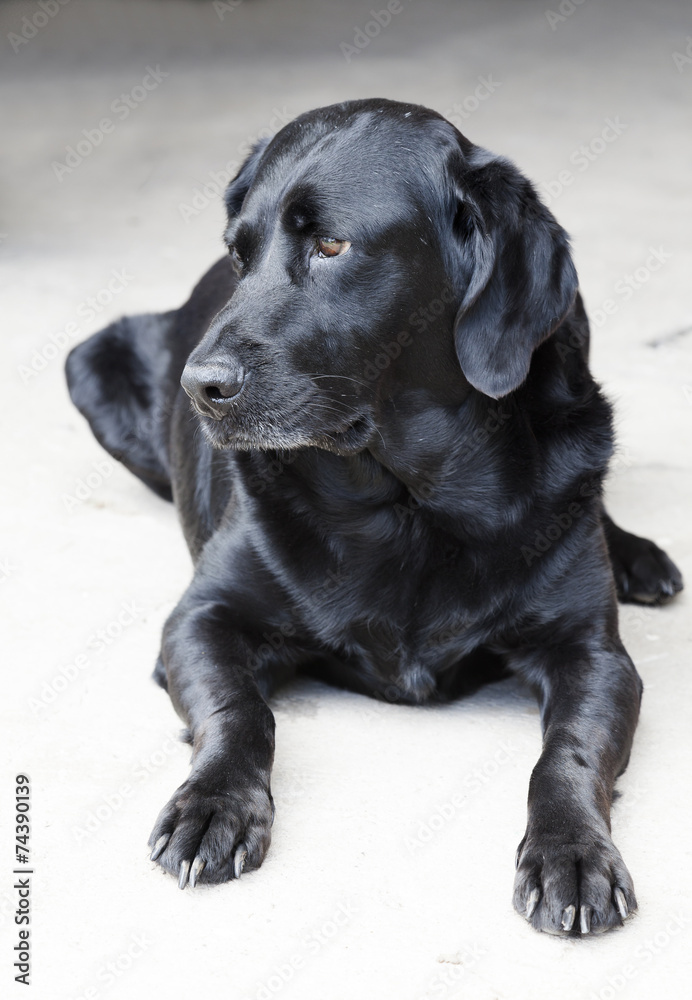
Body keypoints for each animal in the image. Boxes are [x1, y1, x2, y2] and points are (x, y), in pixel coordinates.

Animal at [65, 97, 680, 932]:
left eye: (332, 244)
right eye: (238, 255)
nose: (199, 388)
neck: (406, 498)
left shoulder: (595, 654)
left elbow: (567, 755)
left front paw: (573, 853)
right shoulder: (200, 618)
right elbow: (239, 712)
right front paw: (213, 805)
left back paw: (638, 557)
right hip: (90, 360)